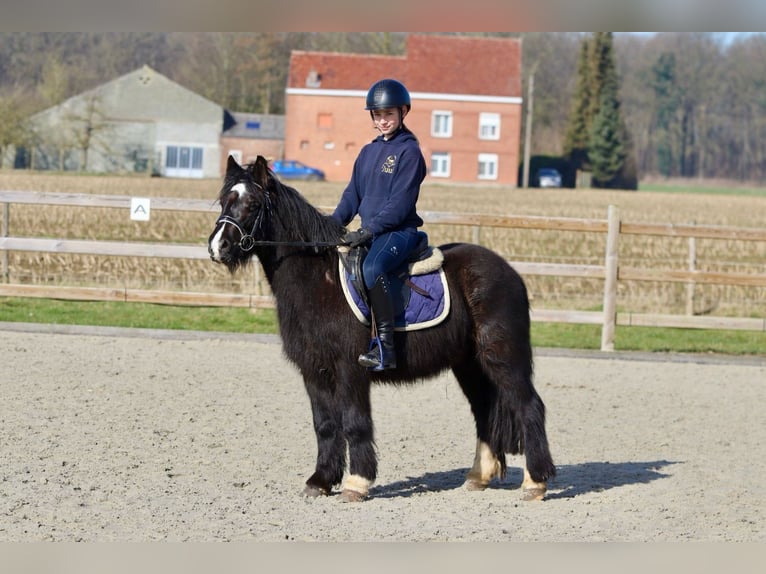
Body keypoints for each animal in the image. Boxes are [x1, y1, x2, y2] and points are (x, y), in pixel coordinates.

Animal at [208, 158, 560, 504]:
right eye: (225, 200)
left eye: (253, 204)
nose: (217, 247)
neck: (318, 281)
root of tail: (510, 272)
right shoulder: (314, 371)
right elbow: (324, 425)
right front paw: (320, 481)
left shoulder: (350, 370)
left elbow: (354, 423)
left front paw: (356, 483)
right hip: (470, 365)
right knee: (485, 411)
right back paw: (478, 477)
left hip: (502, 357)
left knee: (529, 406)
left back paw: (535, 483)